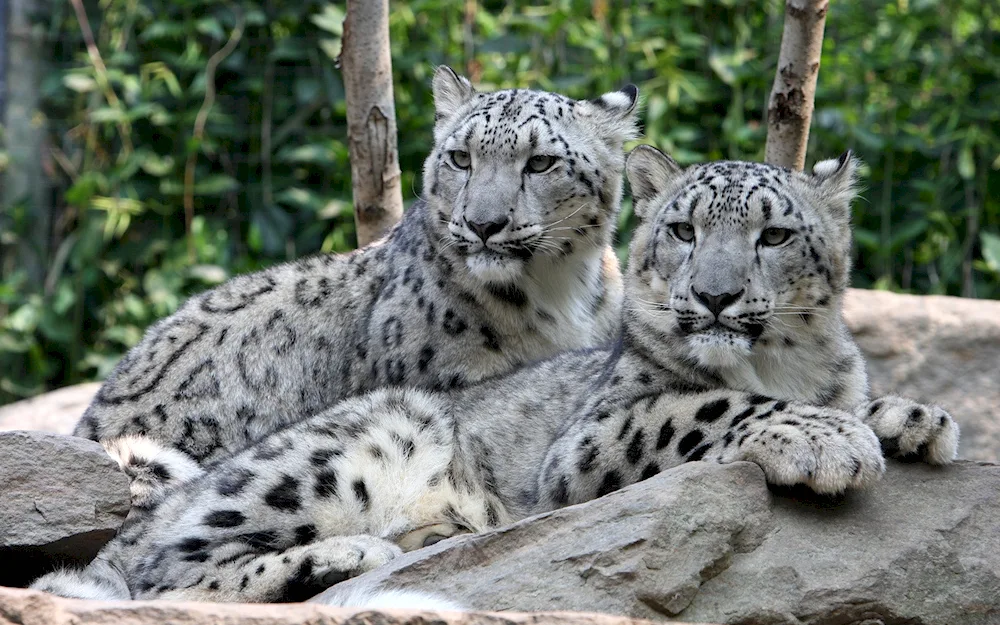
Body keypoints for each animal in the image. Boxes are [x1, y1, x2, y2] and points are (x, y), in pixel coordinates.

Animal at [33, 147, 960, 604]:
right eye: (684, 229)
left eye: (773, 234)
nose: (716, 295)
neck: (782, 359)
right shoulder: (596, 434)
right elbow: (708, 404)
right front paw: (824, 440)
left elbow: (860, 396)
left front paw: (916, 420)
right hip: (348, 443)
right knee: (164, 571)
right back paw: (345, 554)